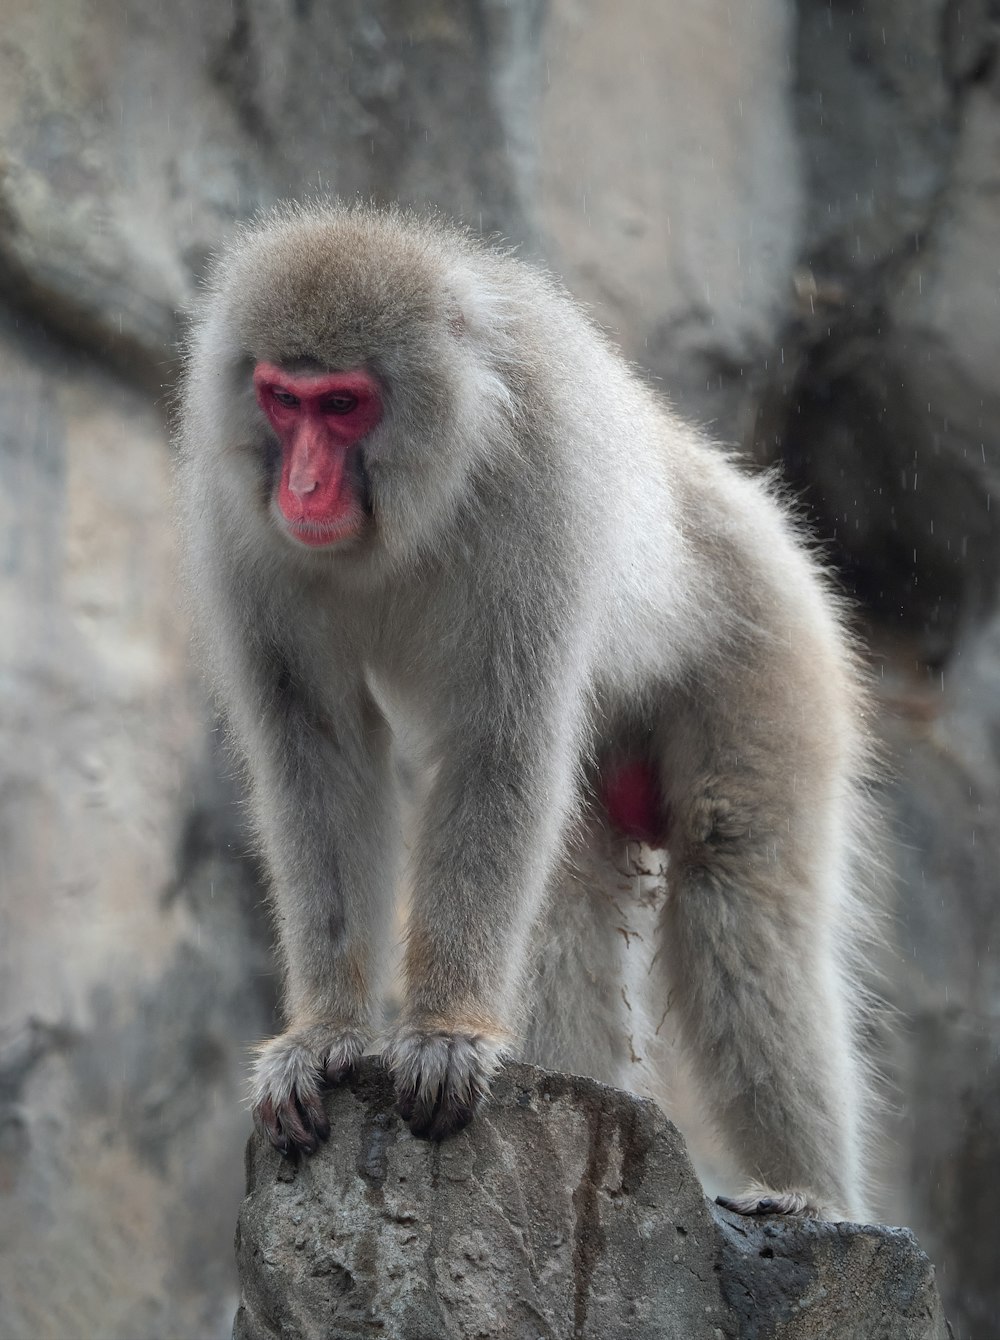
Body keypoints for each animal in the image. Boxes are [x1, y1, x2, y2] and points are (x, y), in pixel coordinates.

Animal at [175, 201, 873, 1227]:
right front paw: (327, 1032)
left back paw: (807, 1198)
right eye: (281, 399)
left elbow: (499, 743)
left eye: (342, 404)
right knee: (575, 881)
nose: (300, 488)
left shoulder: (539, 488)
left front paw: (445, 1032)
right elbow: (317, 754)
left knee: (736, 891)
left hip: (774, 646)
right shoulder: (238, 523)